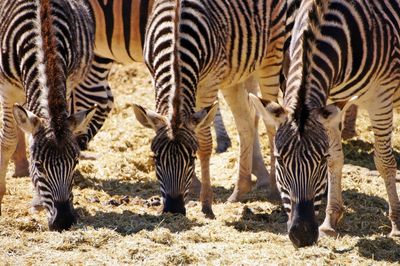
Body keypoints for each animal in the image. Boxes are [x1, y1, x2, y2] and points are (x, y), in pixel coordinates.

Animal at [0, 0, 96, 231]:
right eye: (38, 166)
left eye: (75, 163)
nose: (64, 222)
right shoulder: (7, 89)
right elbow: (7, 141)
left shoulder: (67, 79)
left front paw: (38, 200)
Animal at [134, 0, 288, 217]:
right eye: (155, 158)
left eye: (191, 158)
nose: (174, 209)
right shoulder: (154, 74)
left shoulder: (208, 84)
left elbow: (205, 144)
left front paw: (206, 204)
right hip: (234, 75)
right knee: (246, 123)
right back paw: (240, 191)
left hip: (271, 56)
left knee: (270, 124)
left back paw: (275, 190)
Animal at [252, 0, 400, 246]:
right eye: (279, 160)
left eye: (319, 160)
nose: (302, 235)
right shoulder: (329, 103)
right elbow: (336, 160)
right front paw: (330, 223)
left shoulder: (381, 95)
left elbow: (384, 162)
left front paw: (396, 225)